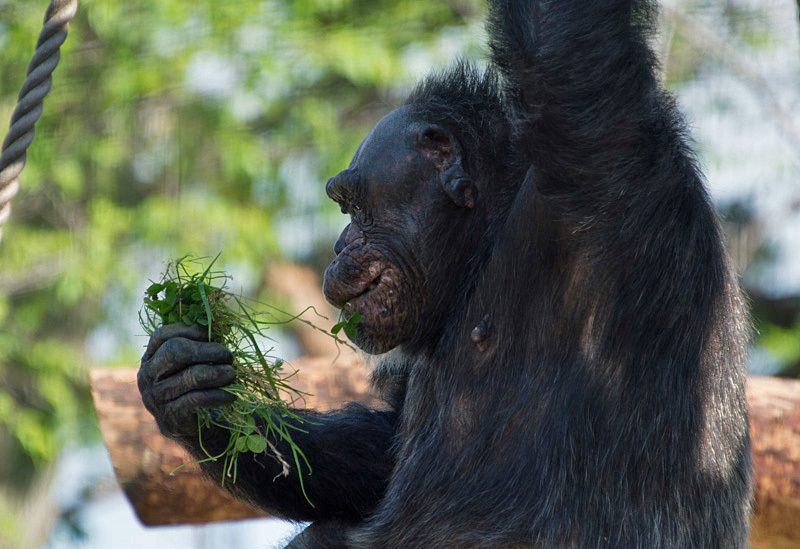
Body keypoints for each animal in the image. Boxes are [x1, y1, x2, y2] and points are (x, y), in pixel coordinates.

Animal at [134, 1, 752, 548]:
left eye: (351, 207)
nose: (337, 247)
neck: (488, 240)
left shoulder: (597, 155)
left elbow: (556, 41)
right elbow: (383, 450)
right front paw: (187, 386)